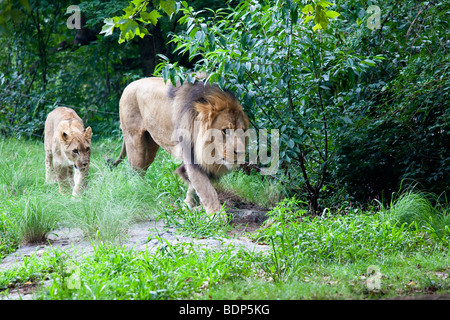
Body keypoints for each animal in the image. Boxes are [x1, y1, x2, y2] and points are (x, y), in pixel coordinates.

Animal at [110, 76, 250, 214]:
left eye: (242, 131)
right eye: (225, 130)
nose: (240, 153)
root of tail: (129, 85)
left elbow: (194, 186)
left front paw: (188, 205)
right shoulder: (192, 156)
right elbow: (207, 190)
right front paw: (217, 215)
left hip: (150, 148)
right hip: (135, 144)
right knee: (135, 173)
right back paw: (141, 194)